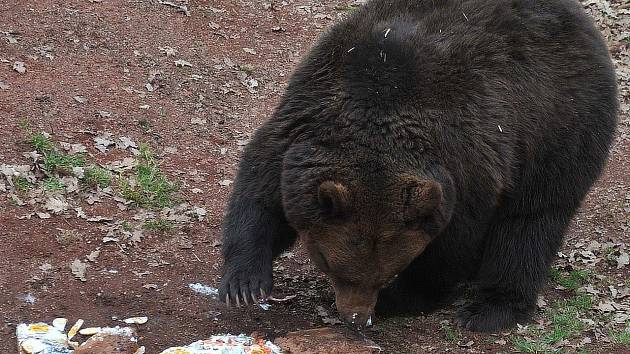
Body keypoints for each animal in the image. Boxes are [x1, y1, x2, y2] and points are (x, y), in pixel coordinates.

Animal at [217, 0, 616, 332]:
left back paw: (490, 309)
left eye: (382, 275)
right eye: (333, 267)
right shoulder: (307, 115)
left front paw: (399, 297)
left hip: (556, 126)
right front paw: (244, 283)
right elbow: (262, 184)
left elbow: (450, 246)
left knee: (531, 222)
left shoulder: (464, 164)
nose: (355, 317)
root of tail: (581, 21)